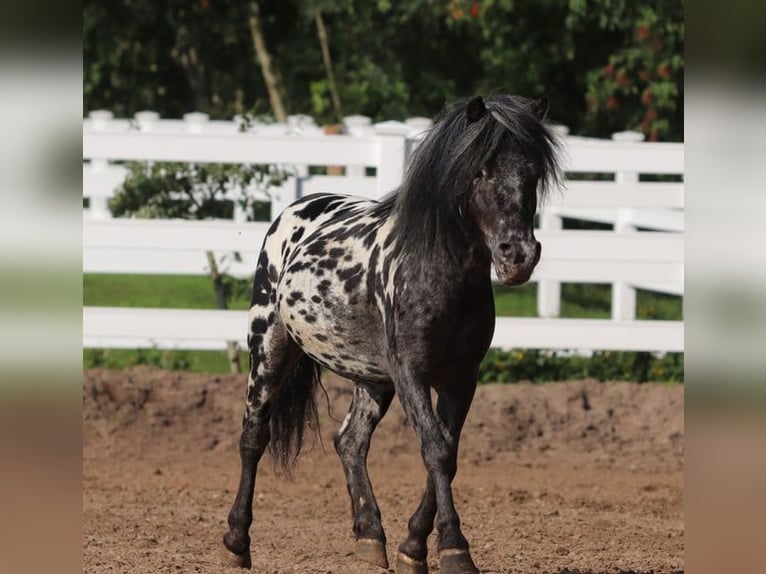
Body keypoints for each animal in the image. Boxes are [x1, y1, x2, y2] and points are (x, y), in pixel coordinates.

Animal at [222, 94, 561, 574]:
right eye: (480, 170)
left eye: (532, 171)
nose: (518, 255)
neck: (437, 272)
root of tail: (296, 209)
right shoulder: (410, 374)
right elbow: (435, 449)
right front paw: (454, 548)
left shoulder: (461, 380)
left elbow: (448, 454)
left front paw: (413, 547)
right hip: (269, 347)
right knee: (254, 436)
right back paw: (237, 541)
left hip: (371, 378)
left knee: (349, 442)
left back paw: (370, 536)